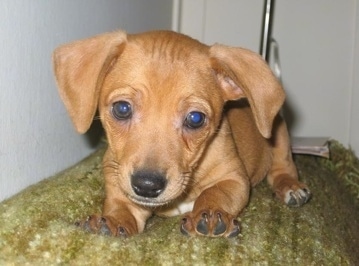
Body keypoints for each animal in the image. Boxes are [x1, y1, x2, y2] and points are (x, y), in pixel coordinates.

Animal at [52, 30, 310, 238]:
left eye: (195, 119)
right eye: (122, 109)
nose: (146, 186)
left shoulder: (234, 179)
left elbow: (214, 193)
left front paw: (210, 213)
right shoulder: (119, 187)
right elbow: (121, 209)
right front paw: (113, 223)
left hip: (279, 134)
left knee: (282, 168)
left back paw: (291, 187)